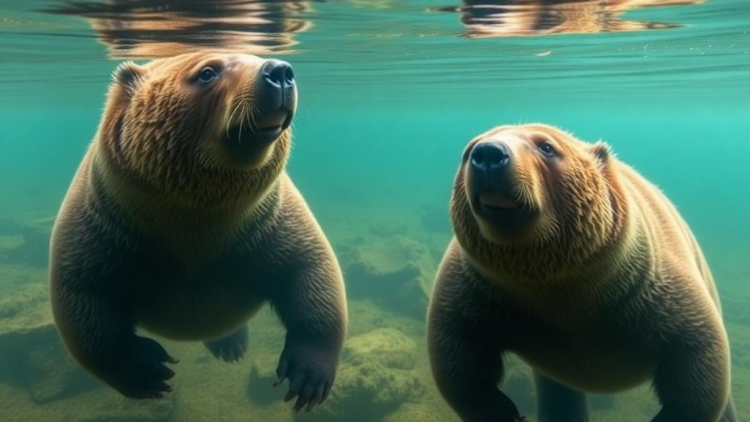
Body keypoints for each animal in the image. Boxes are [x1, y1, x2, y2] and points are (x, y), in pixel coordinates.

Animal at [50, 52, 347, 412]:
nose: (279, 72)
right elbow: (83, 300)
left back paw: (231, 346)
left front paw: (307, 379)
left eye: (255, 55)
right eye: (207, 72)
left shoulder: (269, 222)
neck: (196, 219)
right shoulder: (104, 228)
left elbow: (313, 272)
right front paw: (149, 372)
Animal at [427, 123, 736, 422]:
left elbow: (698, 353)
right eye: (468, 150)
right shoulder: (482, 290)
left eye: (546, 147)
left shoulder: (652, 285)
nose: (489, 153)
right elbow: (456, 346)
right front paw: (503, 411)